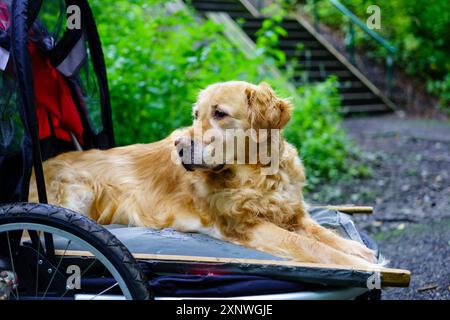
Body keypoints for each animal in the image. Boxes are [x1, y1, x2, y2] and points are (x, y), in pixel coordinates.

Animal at [29, 80, 378, 270]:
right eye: (196, 115)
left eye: (220, 114)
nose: (181, 147)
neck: (258, 175)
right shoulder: (246, 226)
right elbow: (310, 245)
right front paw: (365, 266)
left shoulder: (293, 213)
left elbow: (323, 234)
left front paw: (360, 251)